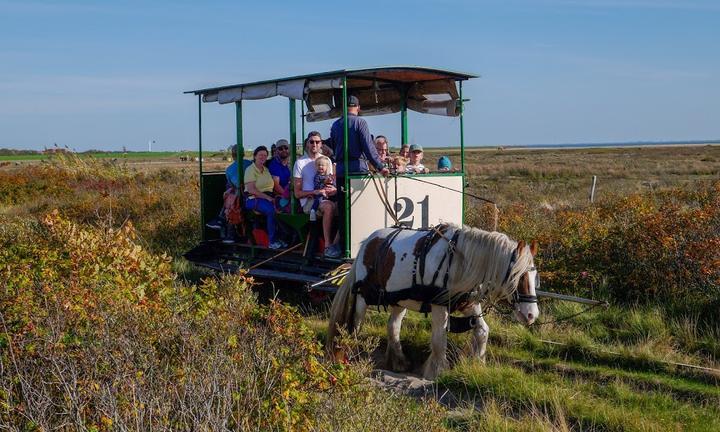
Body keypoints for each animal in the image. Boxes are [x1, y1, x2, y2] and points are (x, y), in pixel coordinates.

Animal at [330, 224, 536, 380]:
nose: (532, 315)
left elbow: (482, 331)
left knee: (393, 325)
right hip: (362, 296)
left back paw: (399, 361)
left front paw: (478, 364)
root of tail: (368, 242)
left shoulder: (469, 304)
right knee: (355, 325)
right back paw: (352, 354)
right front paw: (437, 371)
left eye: (535, 277)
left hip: (400, 299)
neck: (459, 263)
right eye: (519, 277)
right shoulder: (439, 305)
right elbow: (439, 339)